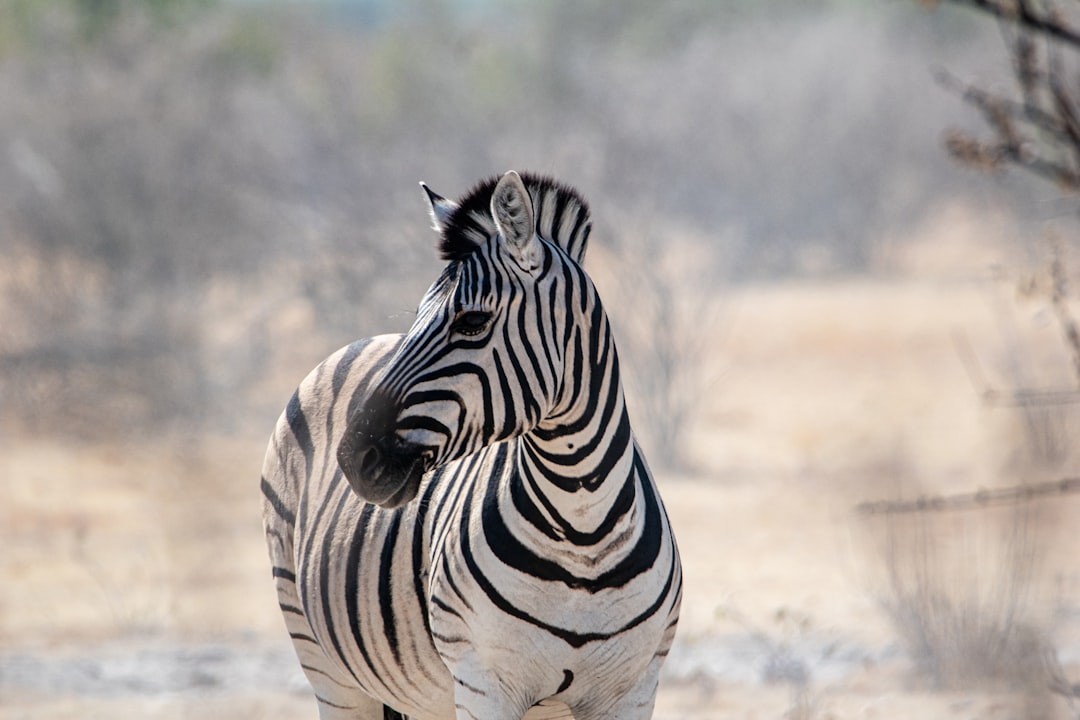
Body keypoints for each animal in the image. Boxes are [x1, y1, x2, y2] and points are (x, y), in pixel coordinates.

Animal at [260, 170, 678, 720]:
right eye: (418, 316)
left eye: (472, 322)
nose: (352, 459)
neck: (582, 528)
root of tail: (357, 343)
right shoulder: (484, 683)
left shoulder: (633, 690)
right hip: (326, 666)